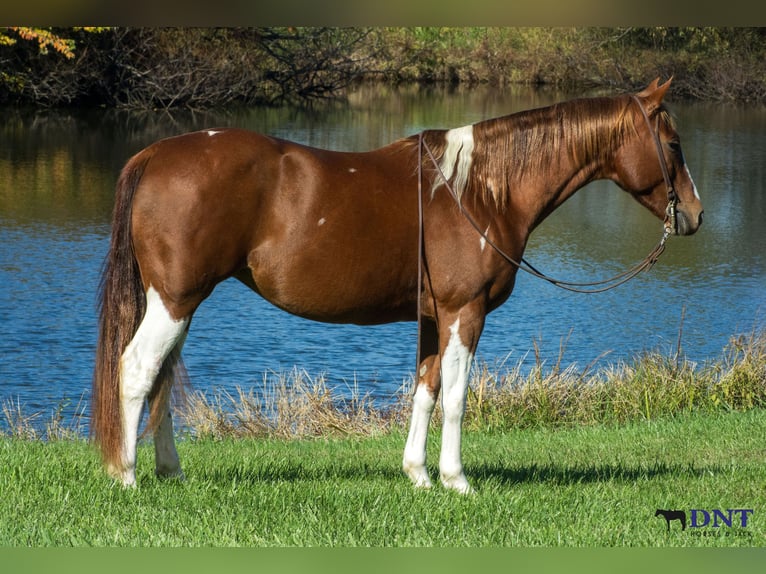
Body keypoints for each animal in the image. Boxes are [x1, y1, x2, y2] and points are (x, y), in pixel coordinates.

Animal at [91, 78, 703, 492]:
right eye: (673, 145)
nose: (695, 216)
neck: (480, 190)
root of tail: (154, 153)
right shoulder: (464, 312)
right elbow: (456, 396)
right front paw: (457, 480)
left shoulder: (434, 317)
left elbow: (426, 391)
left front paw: (419, 475)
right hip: (175, 300)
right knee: (138, 370)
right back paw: (128, 477)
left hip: (179, 302)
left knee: (162, 378)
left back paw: (169, 471)